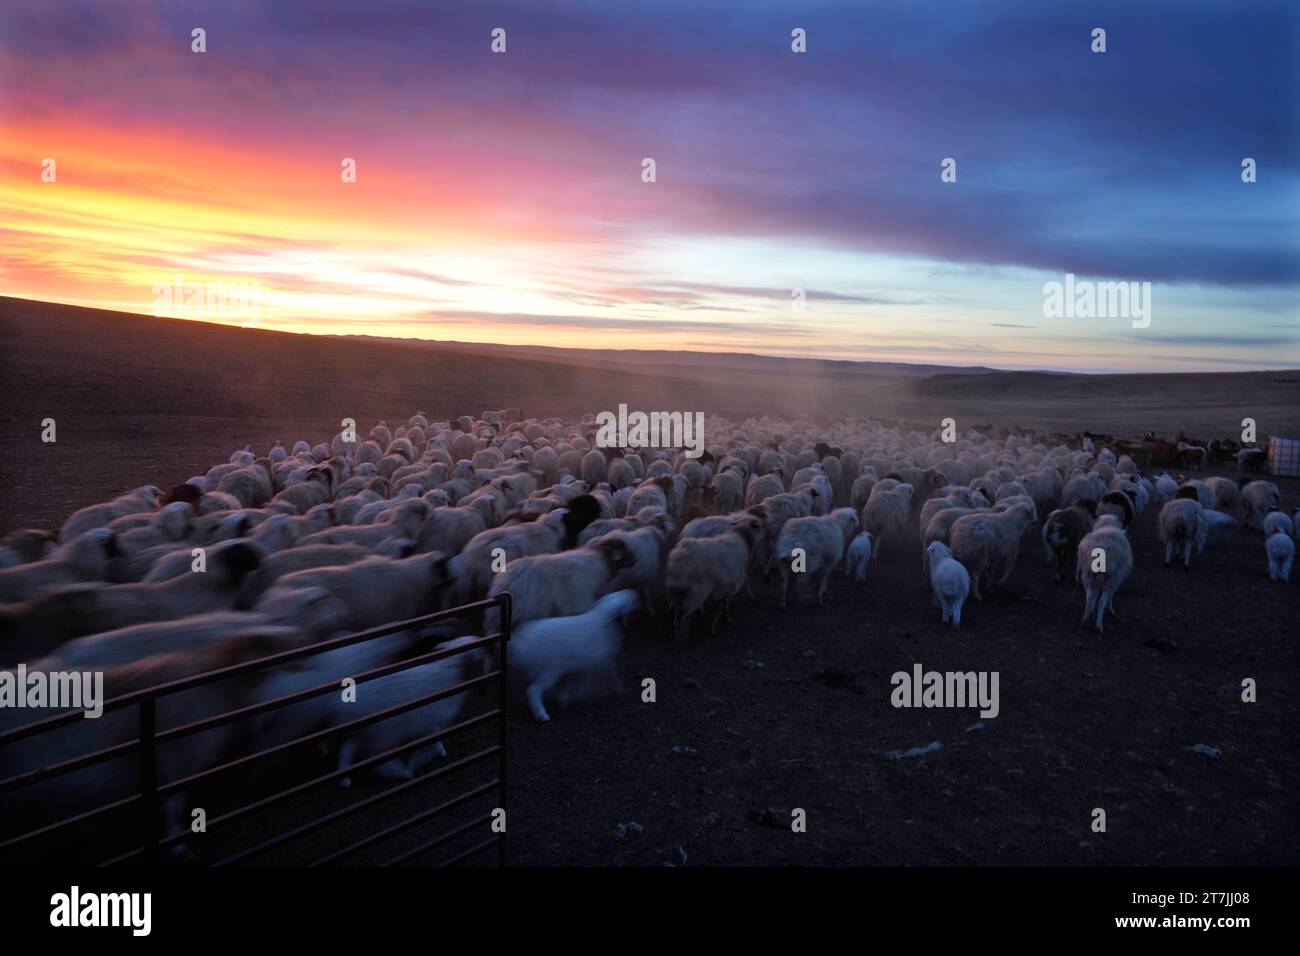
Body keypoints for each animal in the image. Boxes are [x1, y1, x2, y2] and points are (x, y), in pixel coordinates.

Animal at [509, 587, 637, 723]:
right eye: (627, 599)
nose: (635, 594)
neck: (602, 616)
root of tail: (518, 644)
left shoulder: (584, 665)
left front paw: (563, 697)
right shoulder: (597, 662)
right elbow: (602, 677)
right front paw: (620, 690)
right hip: (548, 670)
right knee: (533, 690)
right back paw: (541, 715)